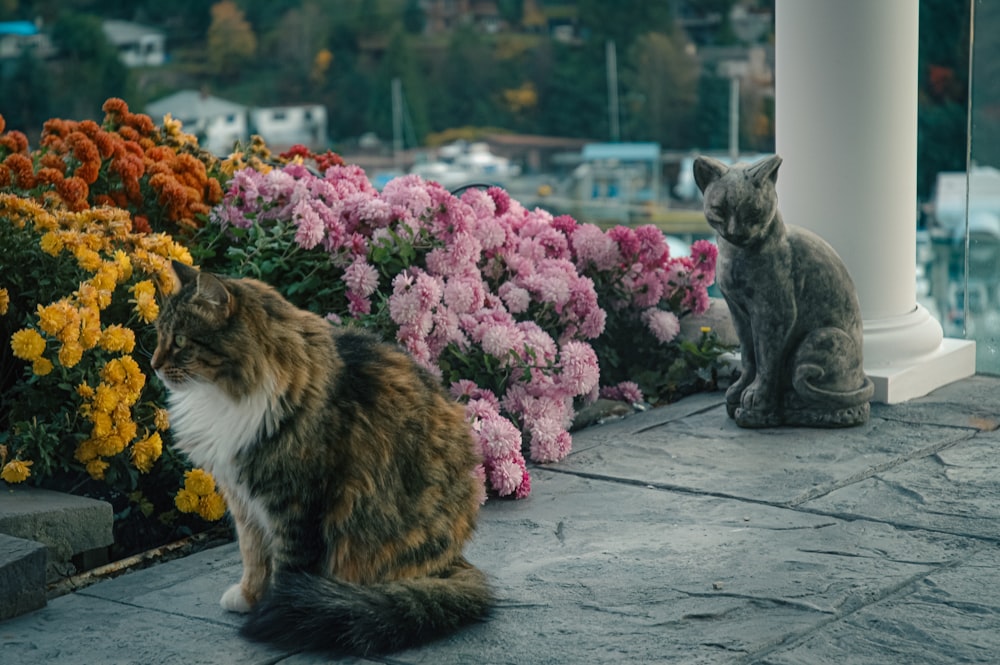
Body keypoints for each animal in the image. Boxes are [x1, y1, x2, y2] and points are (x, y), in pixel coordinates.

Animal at [151, 260, 492, 652]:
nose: (153, 364)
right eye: (159, 334)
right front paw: (249, 596)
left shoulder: (296, 501)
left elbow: (286, 564)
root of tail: (454, 561)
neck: (225, 396)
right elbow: (252, 554)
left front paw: (278, 609)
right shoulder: (243, 499)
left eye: (180, 341)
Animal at [692, 153, 872, 428]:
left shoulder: (774, 314)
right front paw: (739, 391)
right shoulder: (738, 311)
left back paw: (794, 401)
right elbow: (748, 356)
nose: (735, 232)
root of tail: (861, 375)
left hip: (819, 338)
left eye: (753, 212)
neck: (735, 258)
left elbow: (766, 358)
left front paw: (757, 399)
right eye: (719, 210)